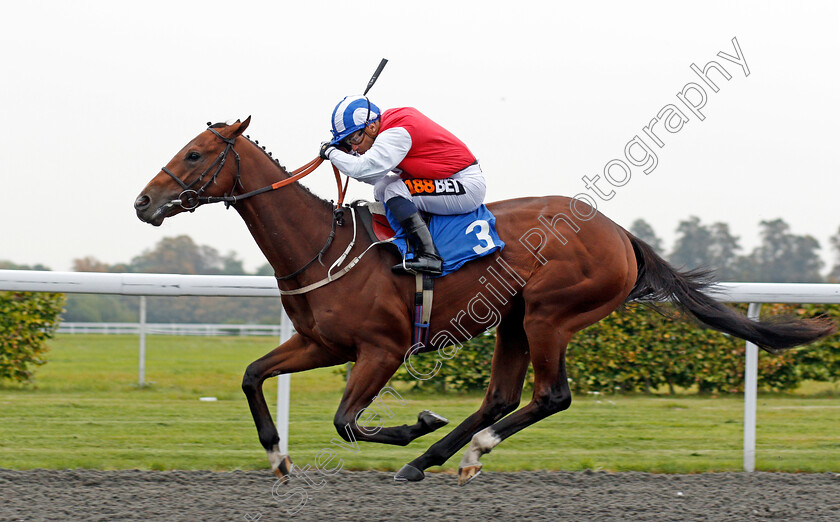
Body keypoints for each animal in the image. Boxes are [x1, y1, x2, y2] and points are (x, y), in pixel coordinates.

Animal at [133, 118, 832, 484]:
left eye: (194, 154)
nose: (142, 201)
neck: (322, 246)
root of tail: (620, 234)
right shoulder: (319, 342)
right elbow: (253, 375)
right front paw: (278, 457)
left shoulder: (383, 350)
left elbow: (347, 422)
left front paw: (414, 423)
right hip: (514, 320)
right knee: (501, 396)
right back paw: (432, 460)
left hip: (551, 314)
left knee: (549, 396)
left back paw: (464, 450)